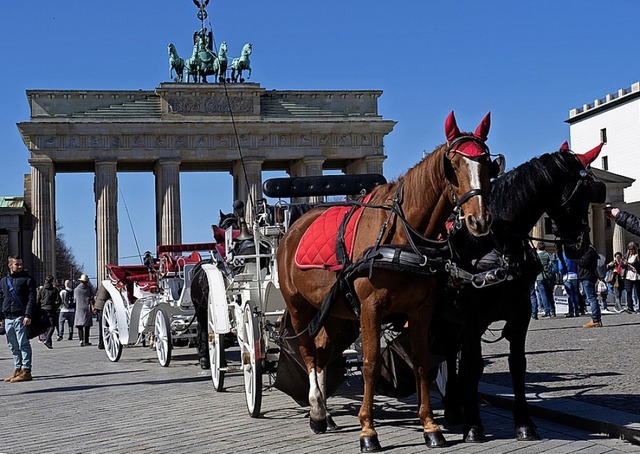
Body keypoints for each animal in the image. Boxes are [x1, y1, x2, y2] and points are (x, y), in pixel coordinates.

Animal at [278, 111, 496, 450]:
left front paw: (430, 426)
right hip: (299, 307)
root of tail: (295, 224)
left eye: (488, 162)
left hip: (334, 312)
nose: (480, 220)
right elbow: (369, 364)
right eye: (454, 164)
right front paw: (368, 431)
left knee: (323, 351)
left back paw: (325, 413)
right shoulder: (370, 309)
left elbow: (421, 362)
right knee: (308, 352)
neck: (403, 238)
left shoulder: (421, 310)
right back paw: (315, 411)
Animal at [436, 143, 604, 444]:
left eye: (592, 194)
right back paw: (455, 408)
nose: (581, 246)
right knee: (448, 354)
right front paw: (473, 427)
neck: (497, 245)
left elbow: (517, 364)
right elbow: (473, 364)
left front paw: (524, 423)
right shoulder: (470, 315)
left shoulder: (521, 311)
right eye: (579, 195)